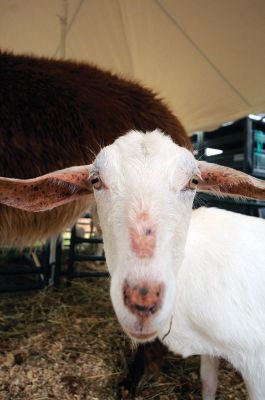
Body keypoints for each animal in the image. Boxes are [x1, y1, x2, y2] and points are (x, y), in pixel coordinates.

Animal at [0, 130, 262, 398]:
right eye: (95, 181)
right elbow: (208, 383)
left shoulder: (256, 365)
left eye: (194, 181)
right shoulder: (210, 350)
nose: (143, 299)